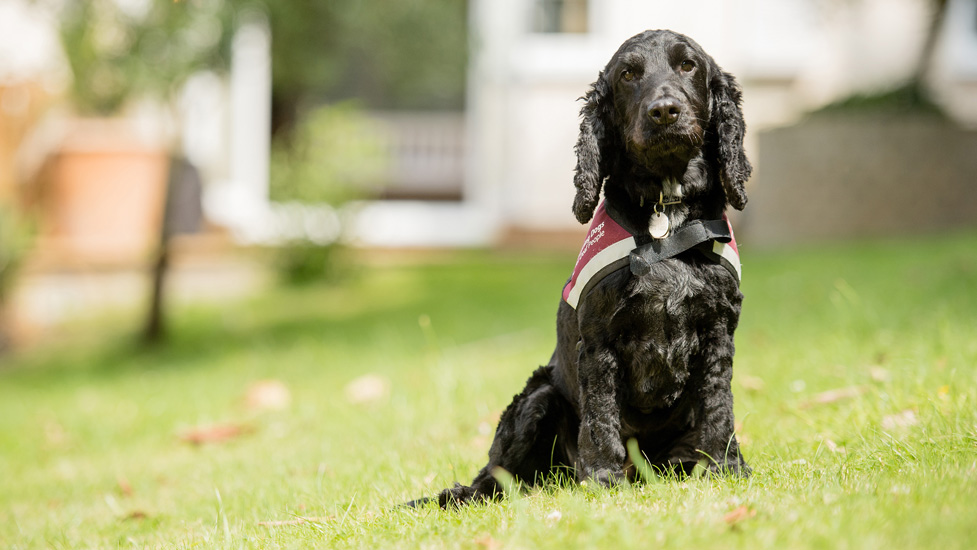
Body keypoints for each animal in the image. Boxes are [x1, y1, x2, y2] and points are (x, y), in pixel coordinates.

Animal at [408, 30, 752, 508]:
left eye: (688, 66)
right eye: (628, 74)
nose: (664, 110)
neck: (667, 217)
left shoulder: (718, 334)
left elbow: (719, 406)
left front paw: (725, 467)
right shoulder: (600, 342)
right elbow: (602, 416)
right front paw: (604, 478)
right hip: (538, 398)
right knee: (494, 477)